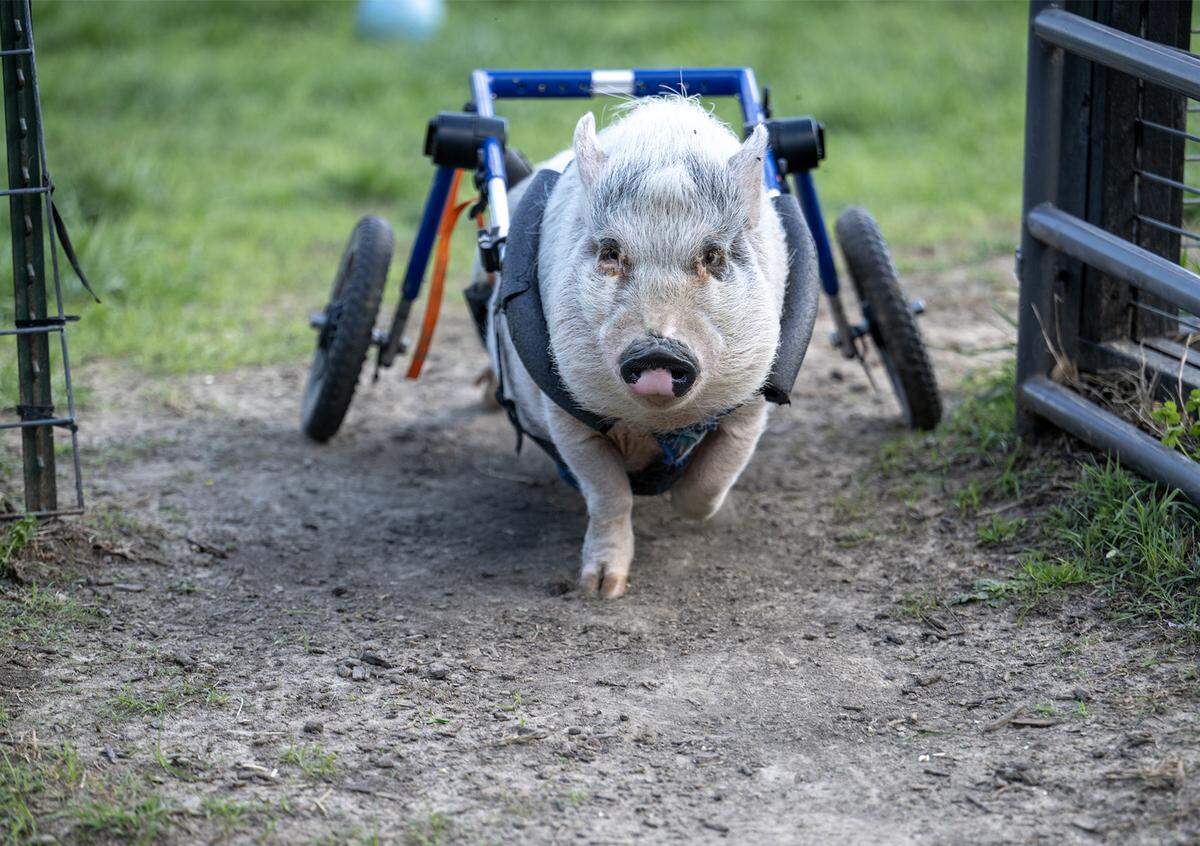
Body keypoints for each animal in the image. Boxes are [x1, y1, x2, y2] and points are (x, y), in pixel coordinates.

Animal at [484, 96, 794, 599]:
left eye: (713, 256)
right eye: (610, 252)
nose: (658, 352)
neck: (656, 426)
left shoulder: (750, 406)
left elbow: (709, 483)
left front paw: (688, 506)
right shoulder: (566, 412)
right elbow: (609, 494)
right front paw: (600, 589)